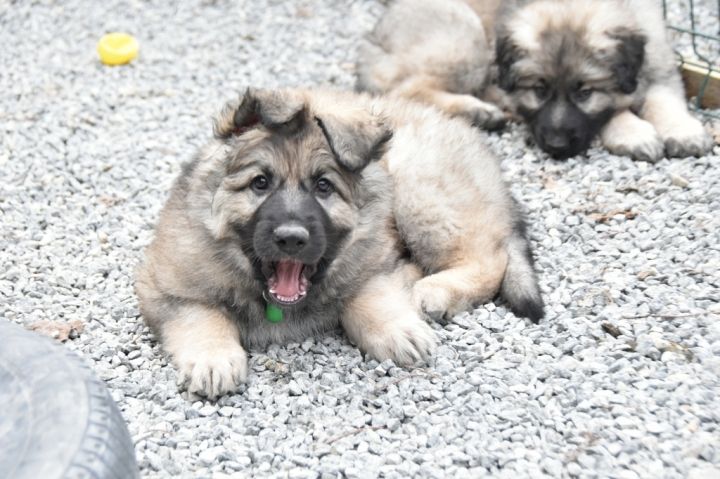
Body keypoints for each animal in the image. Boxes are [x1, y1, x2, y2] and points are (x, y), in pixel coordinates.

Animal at [135, 88, 544, 399]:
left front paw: (397, 329)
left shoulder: (375, 260)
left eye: (323, 186)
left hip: (419, 192)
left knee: (489, 259)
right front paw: (213, 359)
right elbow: (200, 316)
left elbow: (370, 295)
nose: (291, 238)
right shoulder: (167, 286)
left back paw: (434, 290)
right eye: (260, 183)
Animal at [357, 0, 713, 161]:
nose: (555, 146)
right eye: (539, 90)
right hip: (466, 36)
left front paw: (683, 132)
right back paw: (478, 110)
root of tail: (373, 41)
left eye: (584, 92)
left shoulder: (660, 65)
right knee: (407, 88)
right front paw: (634, 133)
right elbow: (615, 110)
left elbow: (665, 100)